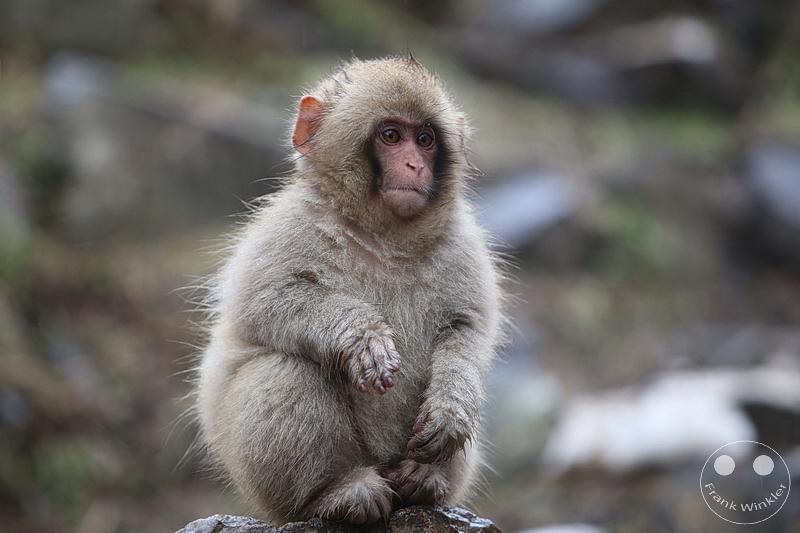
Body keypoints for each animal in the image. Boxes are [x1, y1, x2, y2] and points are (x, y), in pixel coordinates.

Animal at [195, 56, 504, 525]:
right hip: (268, 490)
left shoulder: (462, 243)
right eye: (392, 136)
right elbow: (264, 302)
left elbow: (466, 328)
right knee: (284, 369)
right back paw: (335, 494)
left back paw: (423, 482)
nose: (414, 166)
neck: (385, 237)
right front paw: (364, 338)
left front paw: (451, 407)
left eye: (426, 140)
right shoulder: (289, 225)